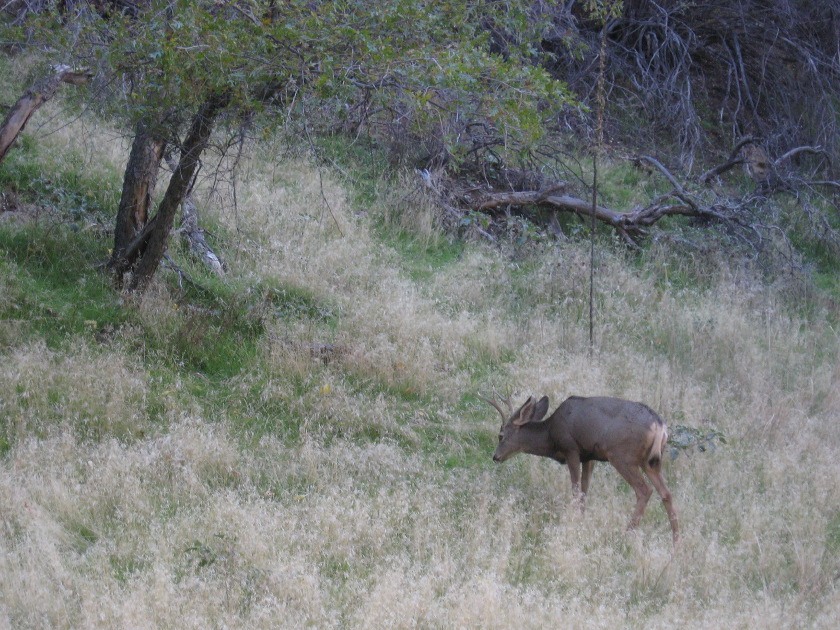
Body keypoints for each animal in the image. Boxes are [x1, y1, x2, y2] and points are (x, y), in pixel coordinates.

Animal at [482, 398, 680, 544]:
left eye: (501, 435)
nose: (495, 457)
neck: (551, 434)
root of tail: (660, 426)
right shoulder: (589, 457)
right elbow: (585, 491)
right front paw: (582, 520)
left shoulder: (571, 448)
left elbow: (576, 490)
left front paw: (575, 522)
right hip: (652, 462)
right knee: (666, 493)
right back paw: (676, 541)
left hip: (622, 456)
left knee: (644, 490)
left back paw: (627, 533)